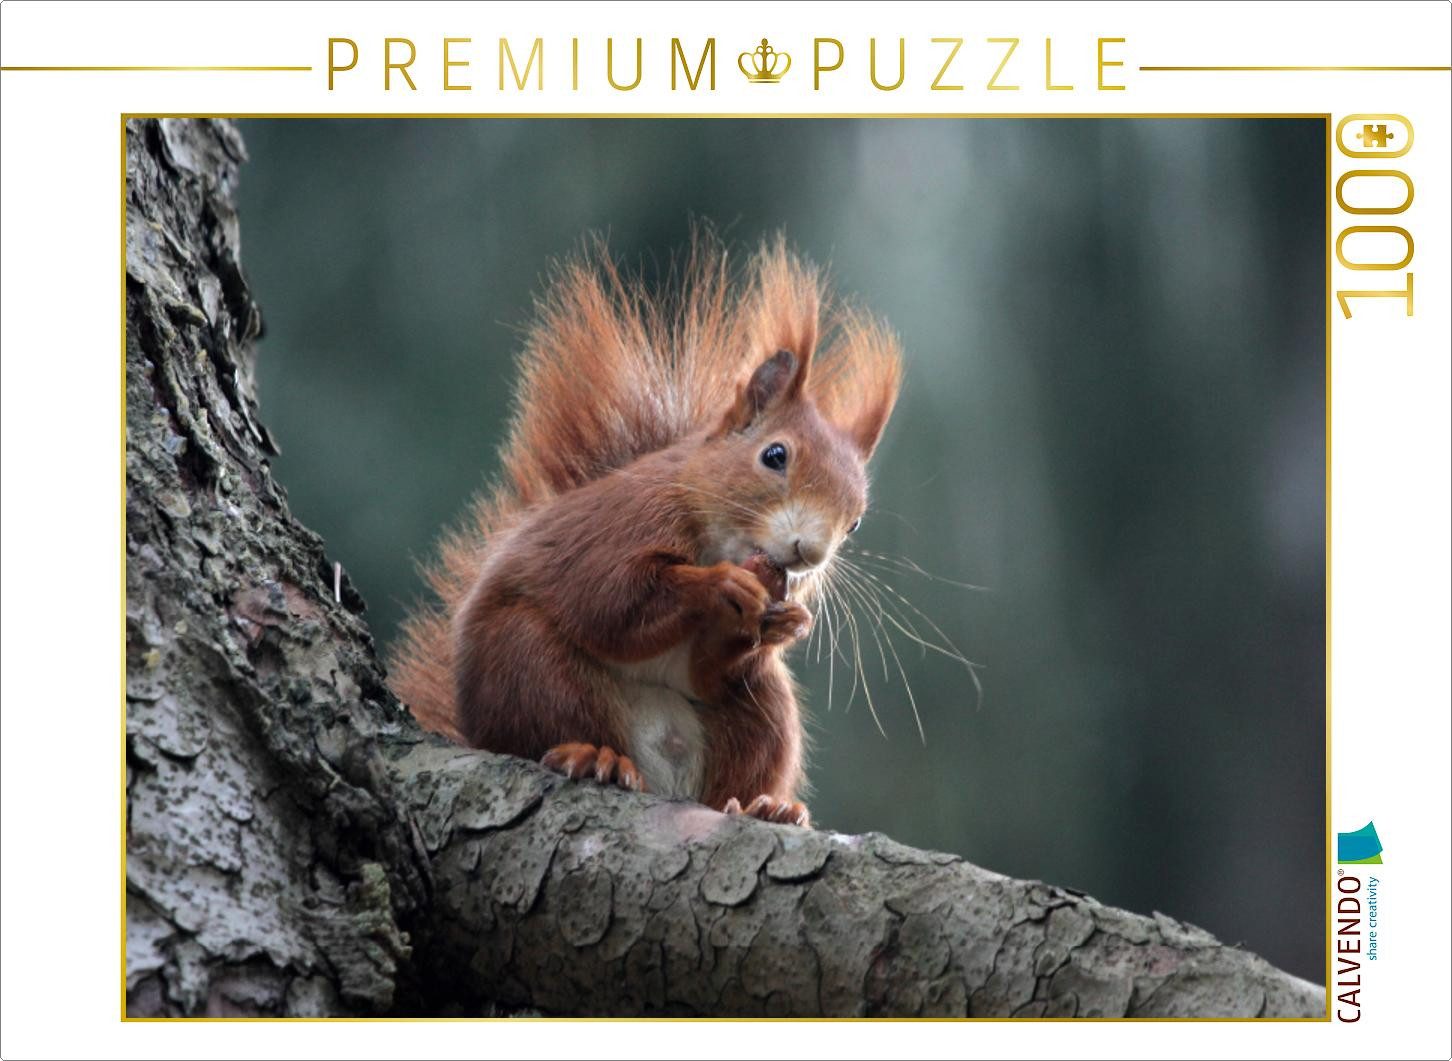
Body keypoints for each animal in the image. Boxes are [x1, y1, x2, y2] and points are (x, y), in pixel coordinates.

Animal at [387, 233, 901, 827]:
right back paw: (594, 757)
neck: (716, 537)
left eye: (855, 520)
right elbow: (613, 598)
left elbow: (710, 672)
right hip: (526, 662)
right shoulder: (621, 524)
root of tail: (662, 776)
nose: (809, 553)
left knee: (738, 755)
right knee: (548, 722)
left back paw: (763, 807)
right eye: (775, 456)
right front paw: (717, 586)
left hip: (765, 711)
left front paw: (787, 623)